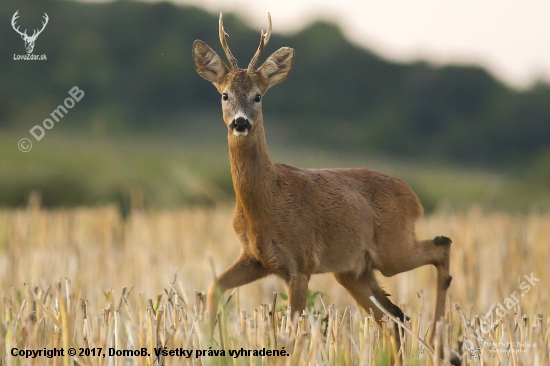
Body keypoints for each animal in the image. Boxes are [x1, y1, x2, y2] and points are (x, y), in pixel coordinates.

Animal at [194, 12, 458, 356]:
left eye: (258, 96)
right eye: (224, 94)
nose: (240, 122)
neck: (265, 203)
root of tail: (413, 197)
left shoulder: (301, 262)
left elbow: (293, 334)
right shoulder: (255, 258)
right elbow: (214, 288)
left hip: (392, 248)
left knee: (441, 247)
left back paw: (441, 345)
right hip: (352, 270)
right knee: (394, 317)